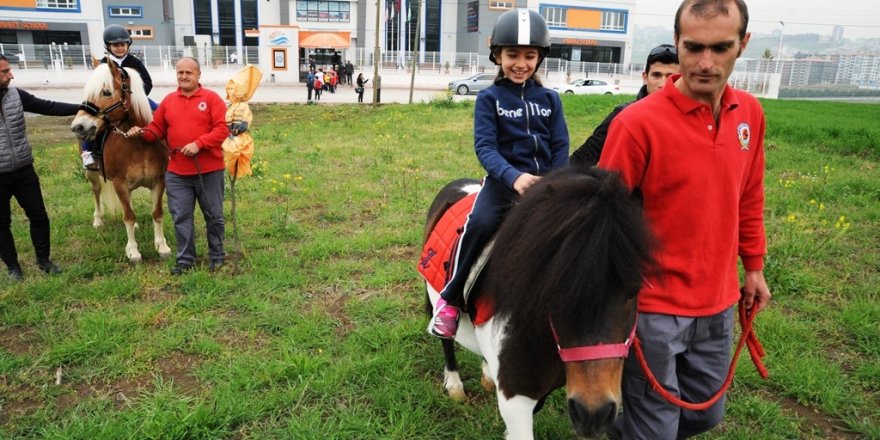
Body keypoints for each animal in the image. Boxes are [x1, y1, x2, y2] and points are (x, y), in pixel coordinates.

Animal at [420, 167, 652, 438]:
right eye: (554, 288)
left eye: (634, 290)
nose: (594, 413)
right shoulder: (515, 402)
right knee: (445, 337)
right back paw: (454, 383)